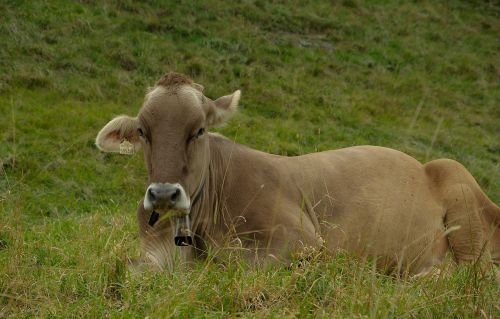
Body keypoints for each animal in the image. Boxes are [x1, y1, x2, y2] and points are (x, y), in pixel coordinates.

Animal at [95, 72, 498, 276]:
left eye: (199, 130)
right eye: (143, 131)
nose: (164, 194)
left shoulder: (300, 238)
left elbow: (240, 266)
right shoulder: (152, 248)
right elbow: (129, 269)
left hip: (457, 184)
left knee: (472, 274)